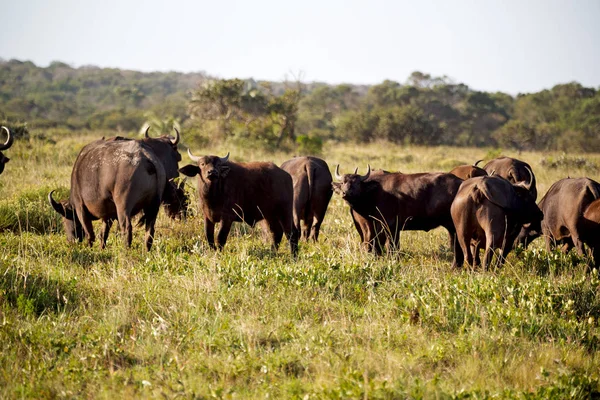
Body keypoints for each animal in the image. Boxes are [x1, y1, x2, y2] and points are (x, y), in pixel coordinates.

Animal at [49, 130, 183, 250]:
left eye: (65, 219)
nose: (71, 241)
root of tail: (147, 157)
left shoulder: (80, 207)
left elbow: (90, 234)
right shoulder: (107, 215)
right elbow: (103, 234)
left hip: (123, 206)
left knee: (126, 228)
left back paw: (126, 250)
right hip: (153, 206)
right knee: (149, 230)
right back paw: (146, 251)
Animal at [332, 164, 464, 268]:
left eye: (357, 183)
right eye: (343, 182)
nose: (346, 193)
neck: (375, 192)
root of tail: (461, 183)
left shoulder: (389, 226)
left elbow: (391, 246)